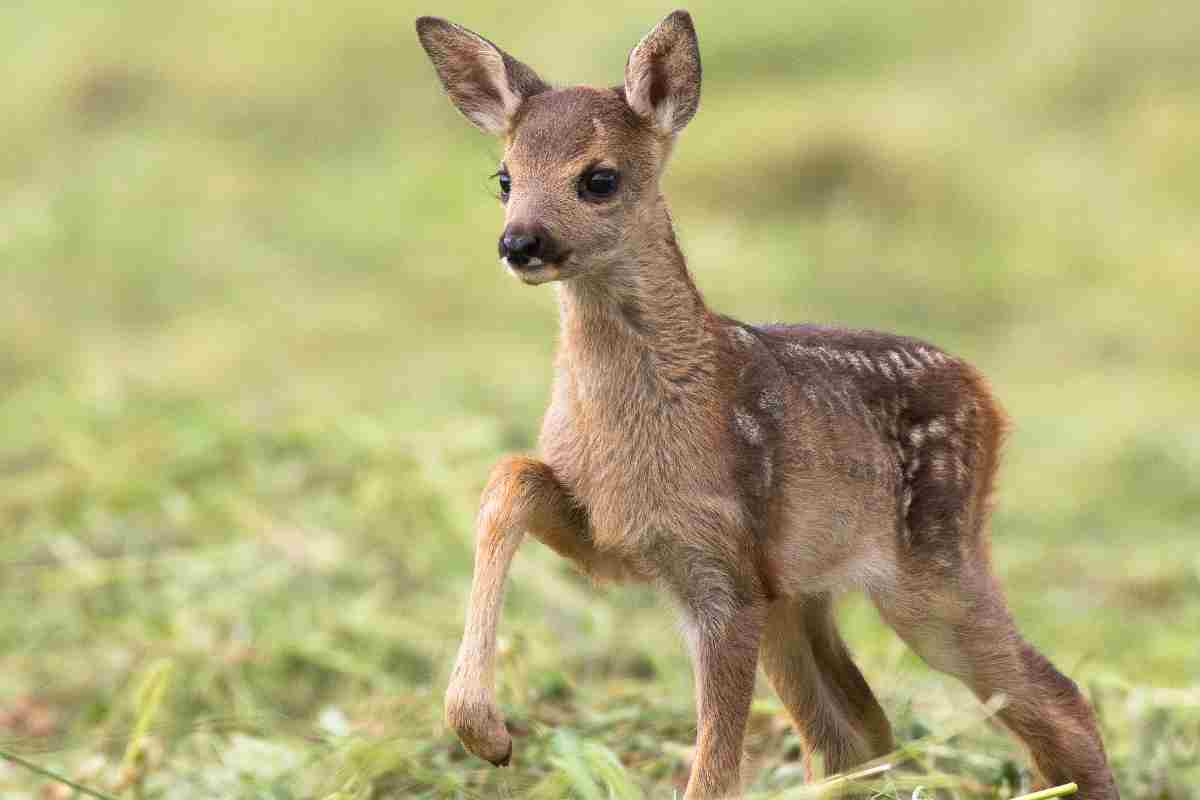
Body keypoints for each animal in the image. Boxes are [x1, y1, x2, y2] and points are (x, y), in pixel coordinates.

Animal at [417, 9, 1118, 796]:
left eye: (599, 179)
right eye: (504, 177)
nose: (520, 242)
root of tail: (990, 401)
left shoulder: (721, 572)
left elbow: (716, 769)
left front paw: (486, 732)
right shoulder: (624, 540)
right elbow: (511, 475)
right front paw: (482, 730)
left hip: (933, 572)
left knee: (1057, 699)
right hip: (801, 596)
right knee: (859, 732)